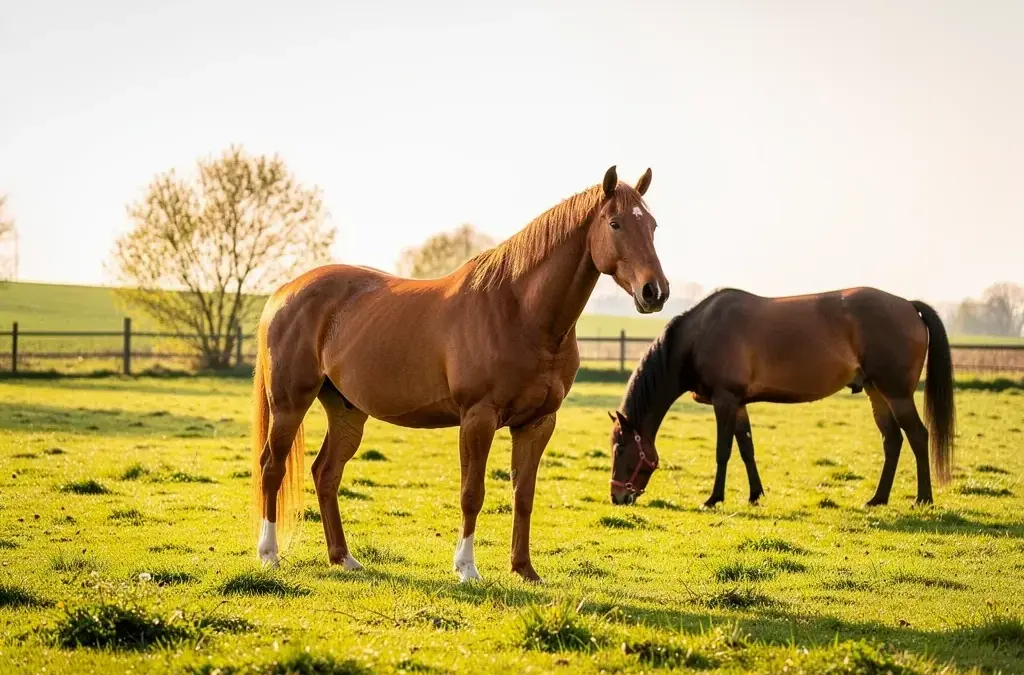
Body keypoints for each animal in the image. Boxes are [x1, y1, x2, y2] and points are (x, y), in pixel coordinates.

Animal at [252, 166, 669, 582]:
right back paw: (269, 554)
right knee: (272, 468)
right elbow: (472, 493)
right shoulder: (477, 418)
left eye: (652, 225)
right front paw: (467, 568)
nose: (656, 292)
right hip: (290, 404)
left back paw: (343, 557)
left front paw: (524, 569)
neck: (519, 313)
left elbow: (524, 496)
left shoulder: (538, 423)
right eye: (615, 223)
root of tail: (284, 292)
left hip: (346, 410)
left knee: (326, 473)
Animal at [607, 287, 956, 508]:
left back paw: (923, 498)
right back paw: (878, 499)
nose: (617, 497)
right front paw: (755, 495)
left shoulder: (725, 400)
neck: (700, 335)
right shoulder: (739, 404)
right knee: (892, 440)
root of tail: (909, 305)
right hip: (876, 392)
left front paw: (714, 498)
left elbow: (723, 452)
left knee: (917, 436)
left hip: (897, 393)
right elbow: (746, 449)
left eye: (621, 449)